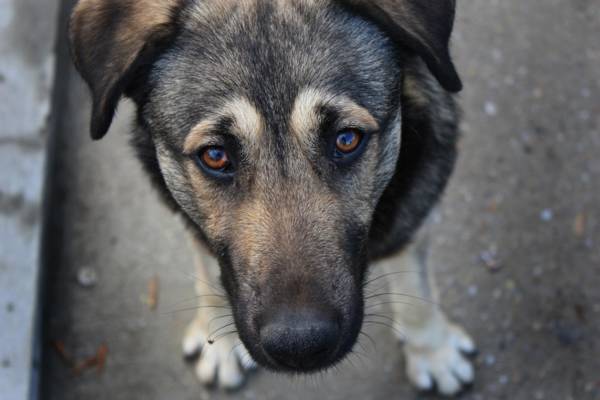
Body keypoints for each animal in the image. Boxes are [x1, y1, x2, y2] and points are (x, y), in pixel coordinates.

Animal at [68, 0, 476, 396]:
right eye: (215, 156)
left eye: (347, 139)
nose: (301, 346)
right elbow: (208, 270)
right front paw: (219, 339)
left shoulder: (414, 204)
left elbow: (416, 286)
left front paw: (433, 351)